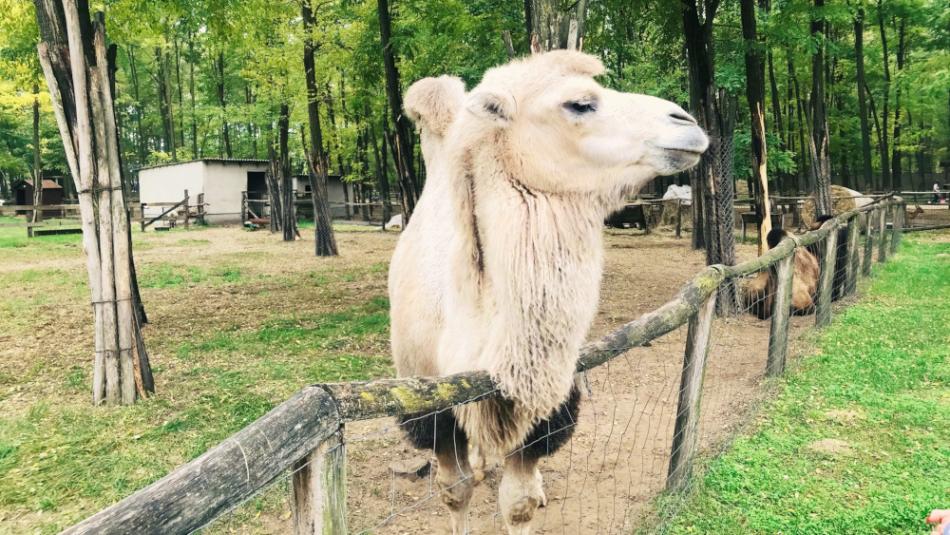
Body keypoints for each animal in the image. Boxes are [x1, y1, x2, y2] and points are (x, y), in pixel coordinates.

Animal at [390, 49, 712, 532]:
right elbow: (455, 491)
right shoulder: (430, 408)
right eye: (579, 103)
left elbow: (518, 501)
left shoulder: (550, 404)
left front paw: (528, 496)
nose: (687, 122)